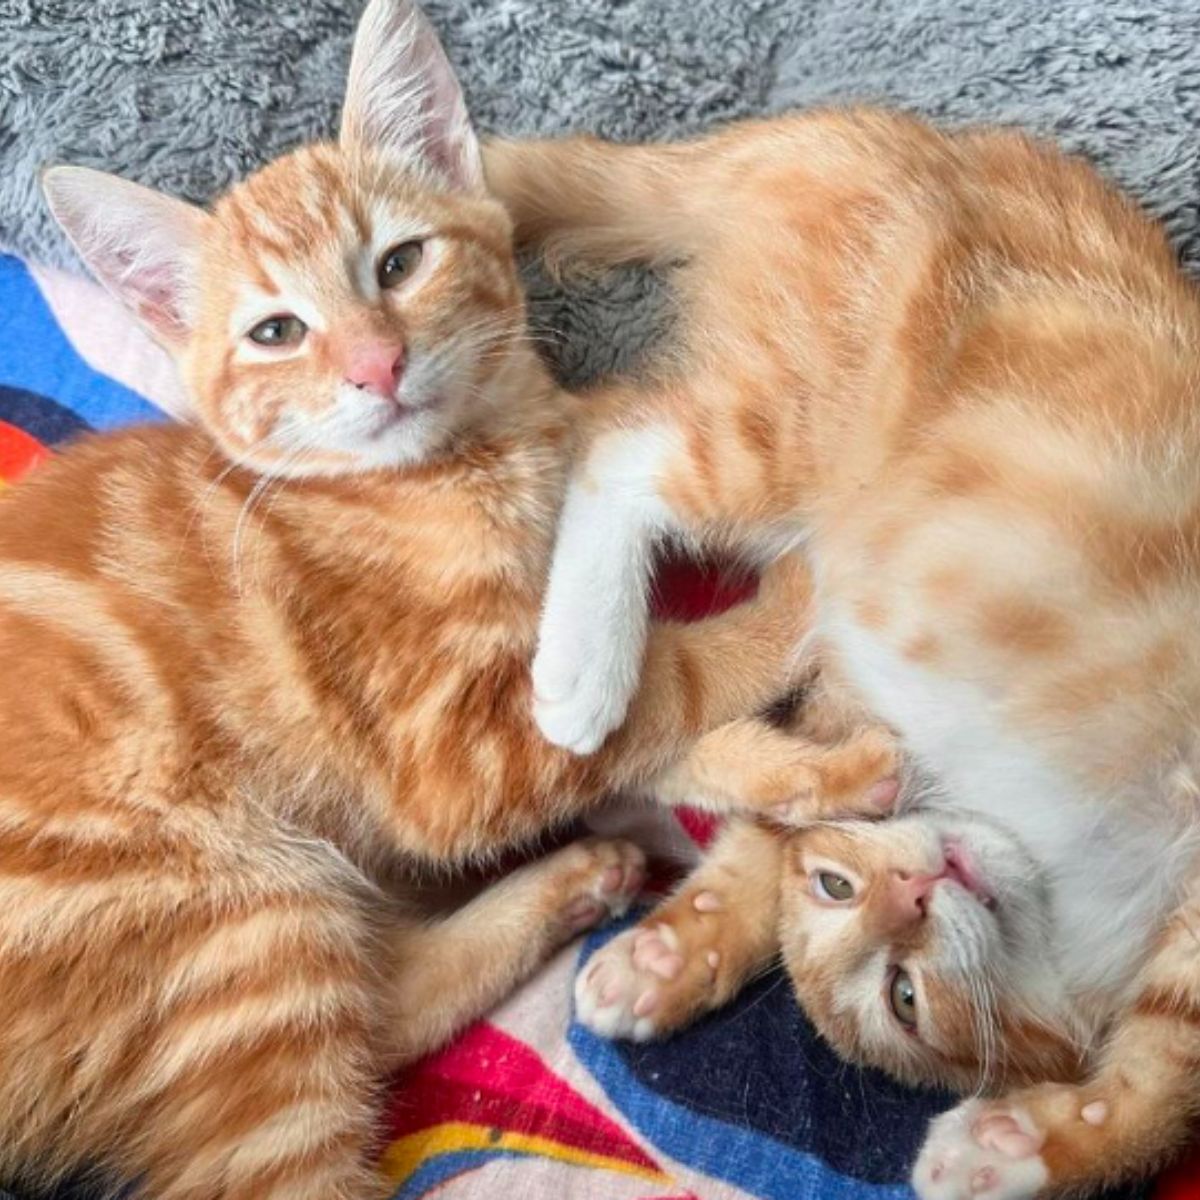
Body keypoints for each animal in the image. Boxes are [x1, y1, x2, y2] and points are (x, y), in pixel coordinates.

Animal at [484, 108, 1200, 1195]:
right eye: (838, 891)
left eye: (904, 995)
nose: (917, 889)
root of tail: (875, 127)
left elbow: (1166, 1076)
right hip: (788, 428)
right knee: (614, 447)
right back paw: (583, 667)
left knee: (594, 428)